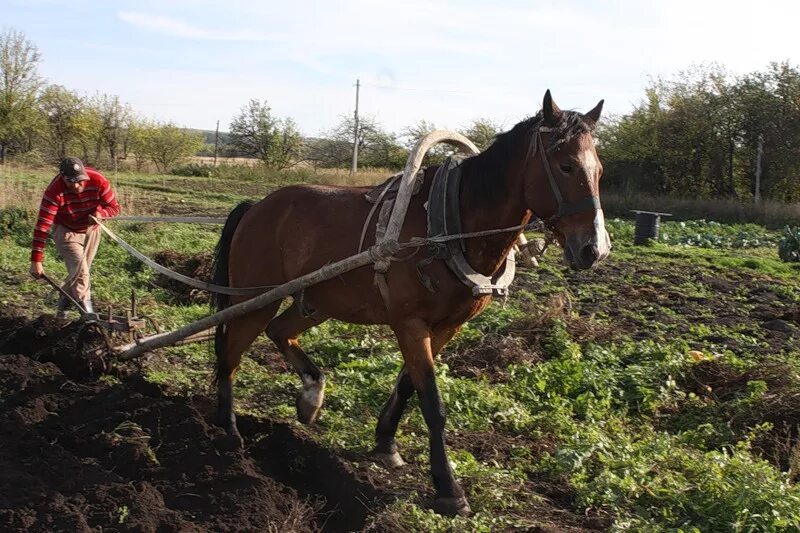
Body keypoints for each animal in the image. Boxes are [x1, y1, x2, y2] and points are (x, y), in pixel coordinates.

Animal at [209, 91, 608, 516]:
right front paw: (449, 489)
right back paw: (228, 431)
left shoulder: (447, 325)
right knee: (230, 354)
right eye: (566, 165)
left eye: (599, 170)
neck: (452, 224)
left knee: (278, 331)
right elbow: (432, 401)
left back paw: (311, 396)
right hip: (253, 297)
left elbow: (407, 386)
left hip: (317, 301)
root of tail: (257, 207)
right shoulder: (410, 323)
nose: (594, 249)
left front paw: (386, 444)